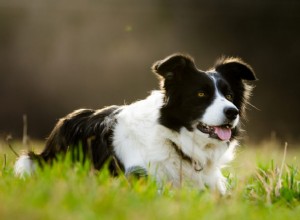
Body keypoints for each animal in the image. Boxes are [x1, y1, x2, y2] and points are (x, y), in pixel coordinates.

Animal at [15, 53, 256, 194]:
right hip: (32, 162)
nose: (232, 112)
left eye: (229, 95)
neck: (174, 139)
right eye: (201, 94)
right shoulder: (141, 177)